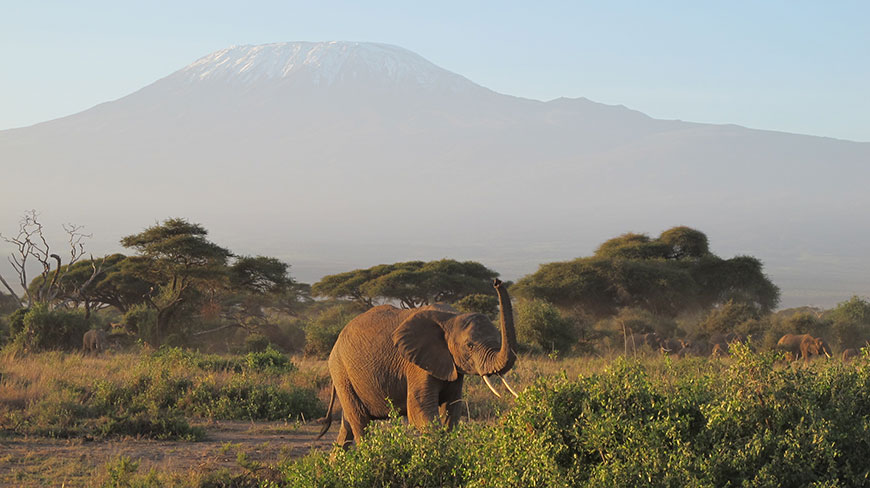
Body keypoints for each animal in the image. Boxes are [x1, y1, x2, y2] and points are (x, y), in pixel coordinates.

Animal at [317, 279, 518, 448]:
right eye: (470, 345)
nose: (496, 282)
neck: (451, 318)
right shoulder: (415, 364)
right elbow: (420, 412)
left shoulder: (451, 365)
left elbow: (452, 411)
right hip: (341, 373)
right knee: (360, 423)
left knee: (347, 427)